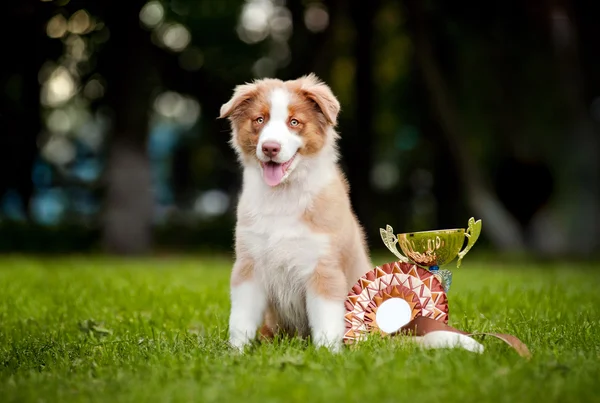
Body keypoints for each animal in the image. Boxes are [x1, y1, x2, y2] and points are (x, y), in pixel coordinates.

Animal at [218, 74, 372, 352]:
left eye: (294, 122)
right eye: (260, 120)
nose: (270, 148)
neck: (282, 196)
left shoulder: (323, 267)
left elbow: (326, 319)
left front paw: (328, 353)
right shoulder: (249, 264)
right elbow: (241, 318)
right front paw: (236, 352)